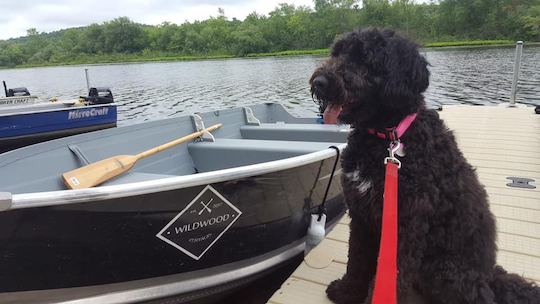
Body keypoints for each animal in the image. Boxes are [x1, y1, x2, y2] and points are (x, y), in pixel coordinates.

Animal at [310, 27, 536, 302]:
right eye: (337, 53)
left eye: (364, 58)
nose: (319, 82)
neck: (388, 138)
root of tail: (489, 276)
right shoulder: (361, 214)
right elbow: (357, 259)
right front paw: (346, 291)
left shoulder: (406, 226)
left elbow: (390, 275)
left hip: (444, 268)